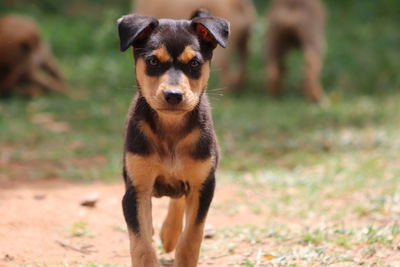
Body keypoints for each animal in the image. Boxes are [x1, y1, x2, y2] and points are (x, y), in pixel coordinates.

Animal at [116, 9, 228, 266]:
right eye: (153, 61)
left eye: (194, 63)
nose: (174, 95)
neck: (171, 130)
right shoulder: (136, 190)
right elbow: (142, 244)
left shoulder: (203, 186)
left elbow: (191, 238)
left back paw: (169, 234)